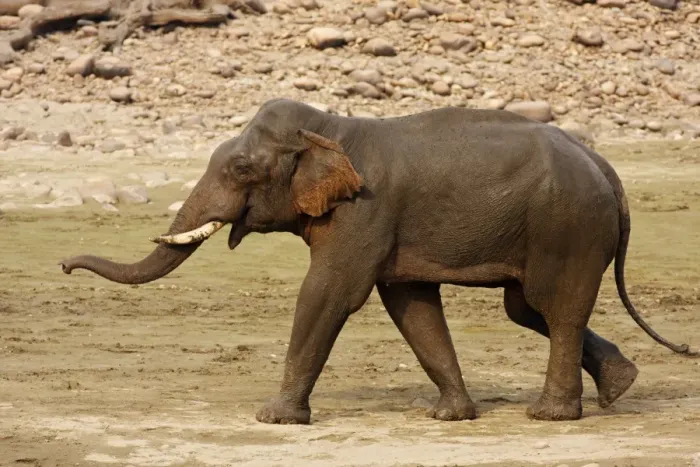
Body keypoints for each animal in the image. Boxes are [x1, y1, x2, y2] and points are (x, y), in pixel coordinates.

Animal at [60, 98, 697, 425]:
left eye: (241, 169)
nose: (63, 265)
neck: (329, 129)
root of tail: (608, 169)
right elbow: (410, 305)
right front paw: (451, 417)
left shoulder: (366, 211)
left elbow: (329, 292)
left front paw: (273, 419)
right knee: (527, 309)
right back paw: (619, 387)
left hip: (567, 227)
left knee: (551, 306)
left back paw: (551, 416)